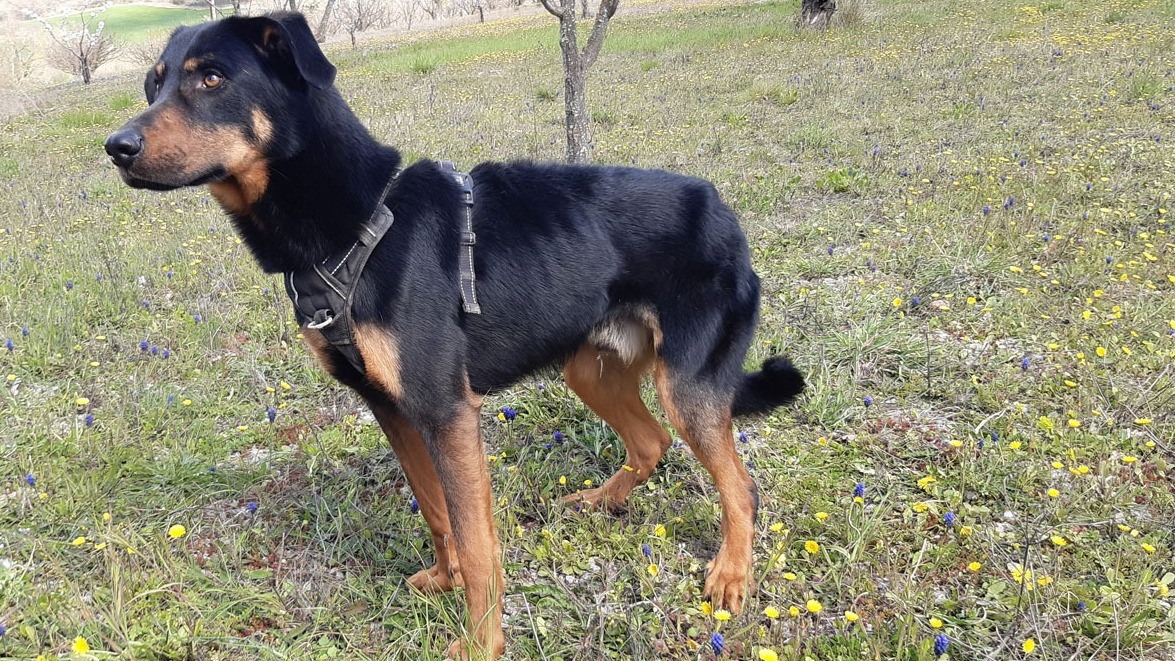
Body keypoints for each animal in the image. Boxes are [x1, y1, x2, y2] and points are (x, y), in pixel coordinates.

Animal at [104, 12, 804, 658]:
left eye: (212, 78)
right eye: (154, 84)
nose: (117, 147)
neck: (355, 224)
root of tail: (724, 210)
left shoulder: (447, 411)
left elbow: (477, 539)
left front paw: (480, 641)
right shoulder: (392, 407)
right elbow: (437, 512)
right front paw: (446, 580)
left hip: (686, 385)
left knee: (739, 486)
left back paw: (730, 577)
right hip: (591, 368)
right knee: (651, 441)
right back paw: (602, 500)